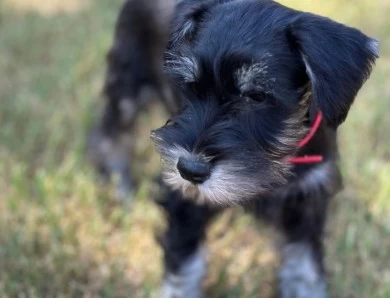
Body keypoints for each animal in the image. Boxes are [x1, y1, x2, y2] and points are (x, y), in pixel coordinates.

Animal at [89, 0, 378, 296]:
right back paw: (120, 187)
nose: (189, 170)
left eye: (257, 95)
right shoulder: (185, 203)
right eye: (190, 86)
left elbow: (304, 268)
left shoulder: (308, 202)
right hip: (128, 83)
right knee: (110, 135)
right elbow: (185, 267)